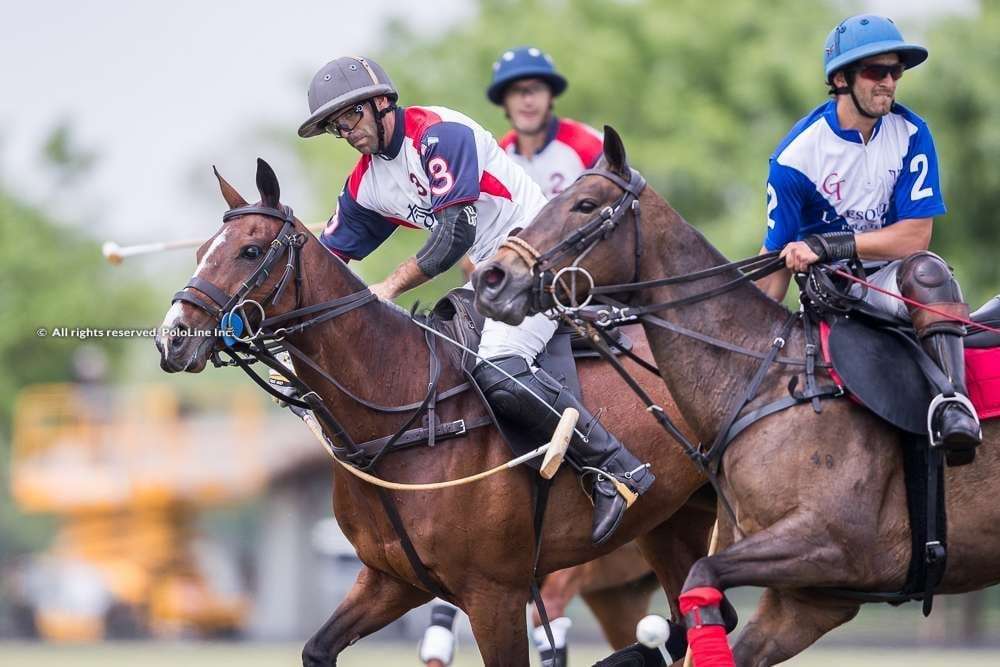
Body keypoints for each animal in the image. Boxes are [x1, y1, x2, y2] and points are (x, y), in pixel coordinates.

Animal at [472, 128, 1000, 664]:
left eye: (584, 204)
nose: (493, 278)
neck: (762, 379)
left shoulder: (837, 545)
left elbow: (701, 583)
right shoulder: (809, 599)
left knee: (925, 268)